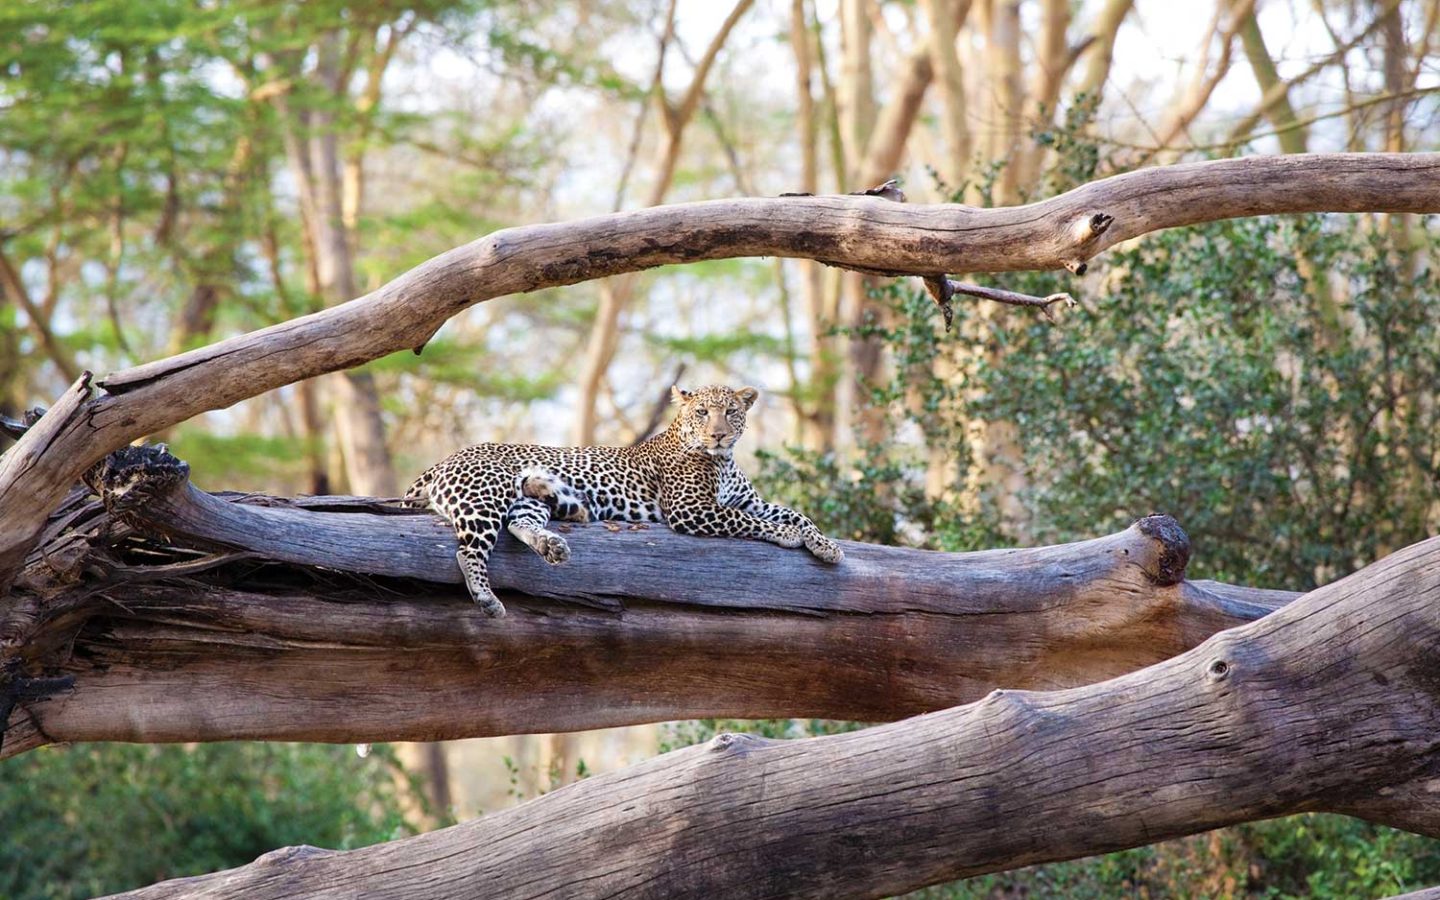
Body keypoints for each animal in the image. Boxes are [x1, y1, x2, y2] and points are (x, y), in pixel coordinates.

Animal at [403, 380, 840, 616]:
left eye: (731, 412)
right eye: (701, 412)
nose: (717, 434)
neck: (723, 458)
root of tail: (445, 458)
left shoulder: (748, 500)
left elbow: (796, 514)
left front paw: (828, 546)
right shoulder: (692, 510)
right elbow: (753, 522)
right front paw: (787, 536)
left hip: (523, 501)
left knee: (520, 521)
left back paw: (554, 542)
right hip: (485, 496)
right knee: (467, 551)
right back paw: (487, 599)